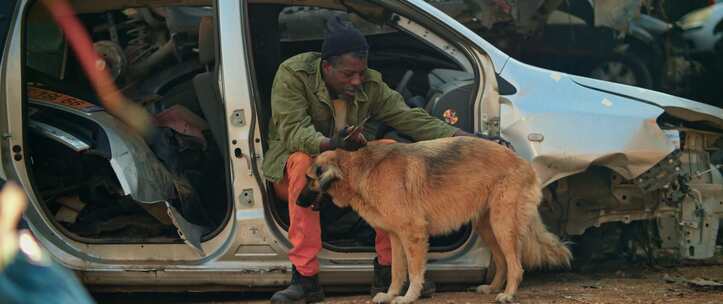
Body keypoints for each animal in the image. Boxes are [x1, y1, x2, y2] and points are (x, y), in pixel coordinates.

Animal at [304, 137, 572, 302]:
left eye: (308, 179)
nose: (297, 203)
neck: (358, 168)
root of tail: (524, 163)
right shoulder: (396, 237)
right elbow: (396, 272)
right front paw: (390, 295)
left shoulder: (413, 233)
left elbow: (414, 271)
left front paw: (408, 297)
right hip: (488, 228)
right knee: (503, 262)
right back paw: (493, 287)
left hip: (502, 225)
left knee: (516, 265)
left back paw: (508, 294)